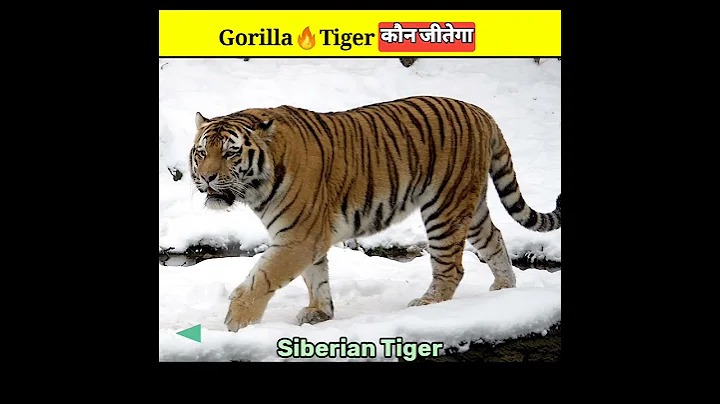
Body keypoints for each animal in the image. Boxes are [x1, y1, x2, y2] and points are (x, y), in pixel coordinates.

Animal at [189, 95, 561, 332]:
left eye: (231, 153)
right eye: (202, 153)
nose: (206, 177)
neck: (257, 185)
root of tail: (481, 111)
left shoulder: (298, 237)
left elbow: (262, 278)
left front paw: (238, 322)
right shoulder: (306, 237)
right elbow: (315, 277)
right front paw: (319, 313)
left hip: (444, 207)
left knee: (451, 267)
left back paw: (429, 304)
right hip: (469, 204)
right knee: (494, 237)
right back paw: (504, 289)